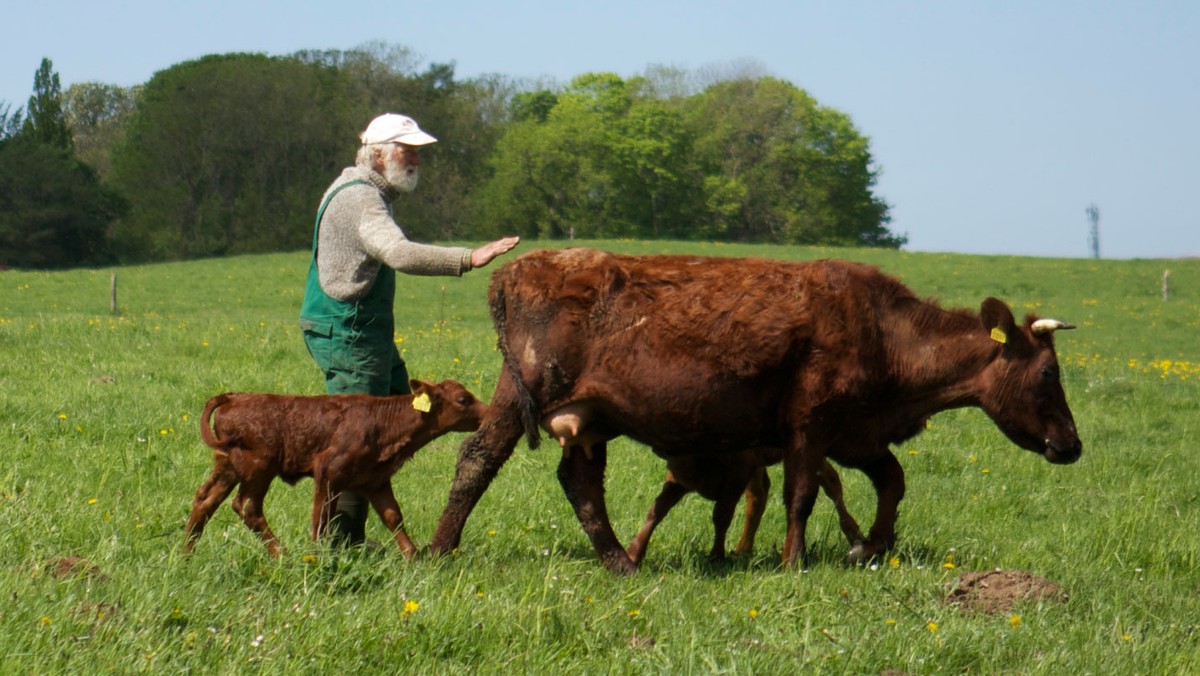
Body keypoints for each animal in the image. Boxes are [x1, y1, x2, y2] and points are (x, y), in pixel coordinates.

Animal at [184, 379, 484, 557]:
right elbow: (321, 518)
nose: (488, 413)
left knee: (204, 499)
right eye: (463, 400)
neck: (382, 423)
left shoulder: (375, 480)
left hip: (227, 466)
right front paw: (317, 557)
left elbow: (393, 516)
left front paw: (412, 556)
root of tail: (233, 397)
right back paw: (282, 555)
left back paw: (187, 553)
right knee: (247, 507)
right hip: (258, 468)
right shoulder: (327, 472)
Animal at [429, 250, 1080, 573]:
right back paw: (438, 550)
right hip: (526, 391)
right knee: (477, 458)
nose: (1073, 444)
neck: (883, 331)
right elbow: (802, 495)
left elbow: (892, 481)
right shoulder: (811, 425)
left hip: (588, 419)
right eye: (1049, 374)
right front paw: (794, 562)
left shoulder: (854, 433)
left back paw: (621, 562)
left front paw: (871, 546)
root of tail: (518, 267)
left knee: (579, 481)